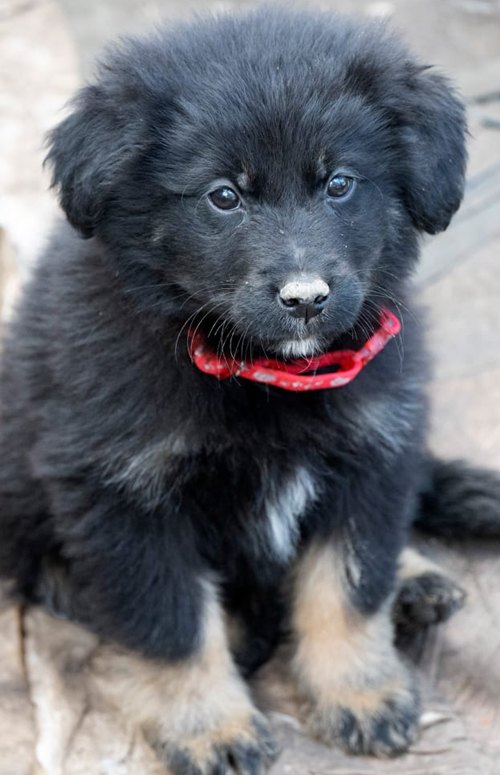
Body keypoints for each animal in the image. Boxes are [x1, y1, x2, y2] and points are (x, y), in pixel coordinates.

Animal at [1, 7, 500, 773]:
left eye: (339, 183)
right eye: (224, 196)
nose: (306, 299)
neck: (263, 378)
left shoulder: (373, 451)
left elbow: (350, 583)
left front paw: (359, 691)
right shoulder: (123, 500)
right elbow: (172, 625)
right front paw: (210, 727)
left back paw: (413, 579)